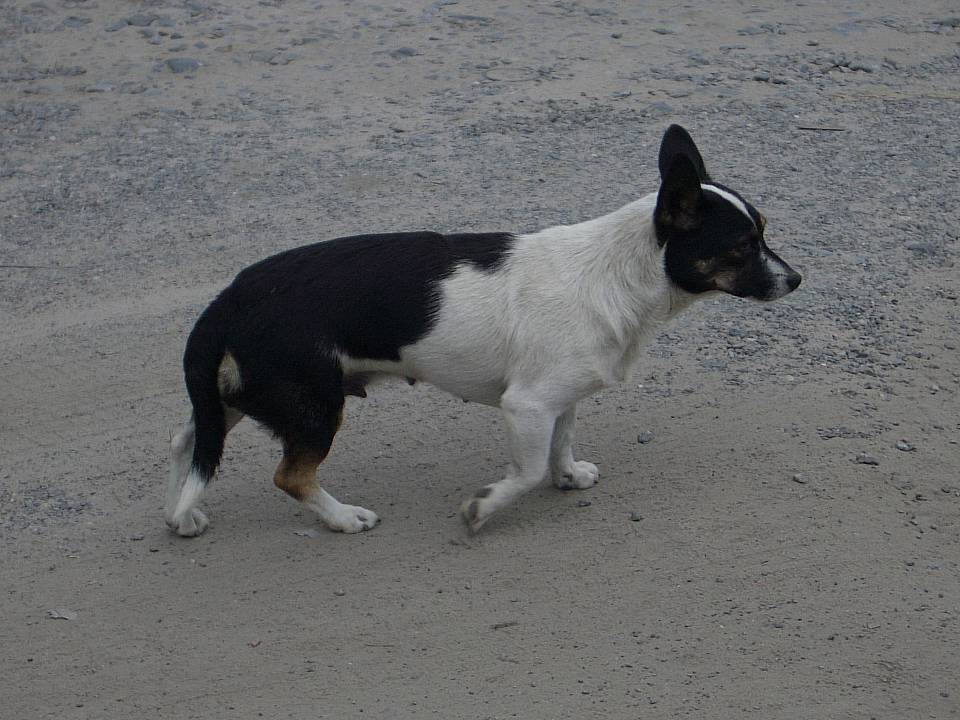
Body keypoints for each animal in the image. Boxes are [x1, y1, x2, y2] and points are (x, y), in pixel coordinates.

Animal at [164, 124, 801, 537]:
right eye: (743, 246)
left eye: (763, 232)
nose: (795, 280)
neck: (615, 272)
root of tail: (229, 299)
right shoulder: (526, 407)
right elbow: (527, 471)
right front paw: (485, 508)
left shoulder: (558, 401)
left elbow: (561, 443)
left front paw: (568, 475)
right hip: (314, 408)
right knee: (289, 475)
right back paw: (344, 517)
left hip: (246, 399)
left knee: (189, 441)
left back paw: (183, 515)